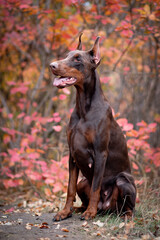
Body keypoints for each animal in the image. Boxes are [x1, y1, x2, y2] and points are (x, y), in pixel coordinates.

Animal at [50, 34, 136, 220]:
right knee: (81, 193)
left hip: (123, 181)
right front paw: (65, 211)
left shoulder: (100, 153)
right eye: (67, 55)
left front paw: (90, 212)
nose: (52, 65)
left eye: (77, 59)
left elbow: (96, 187)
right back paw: (78, 209)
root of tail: (106, 208)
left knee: (130, 207)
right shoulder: (72, 154)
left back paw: (120, 215)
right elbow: (70, 187)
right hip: (83, 182)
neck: (84, 109)